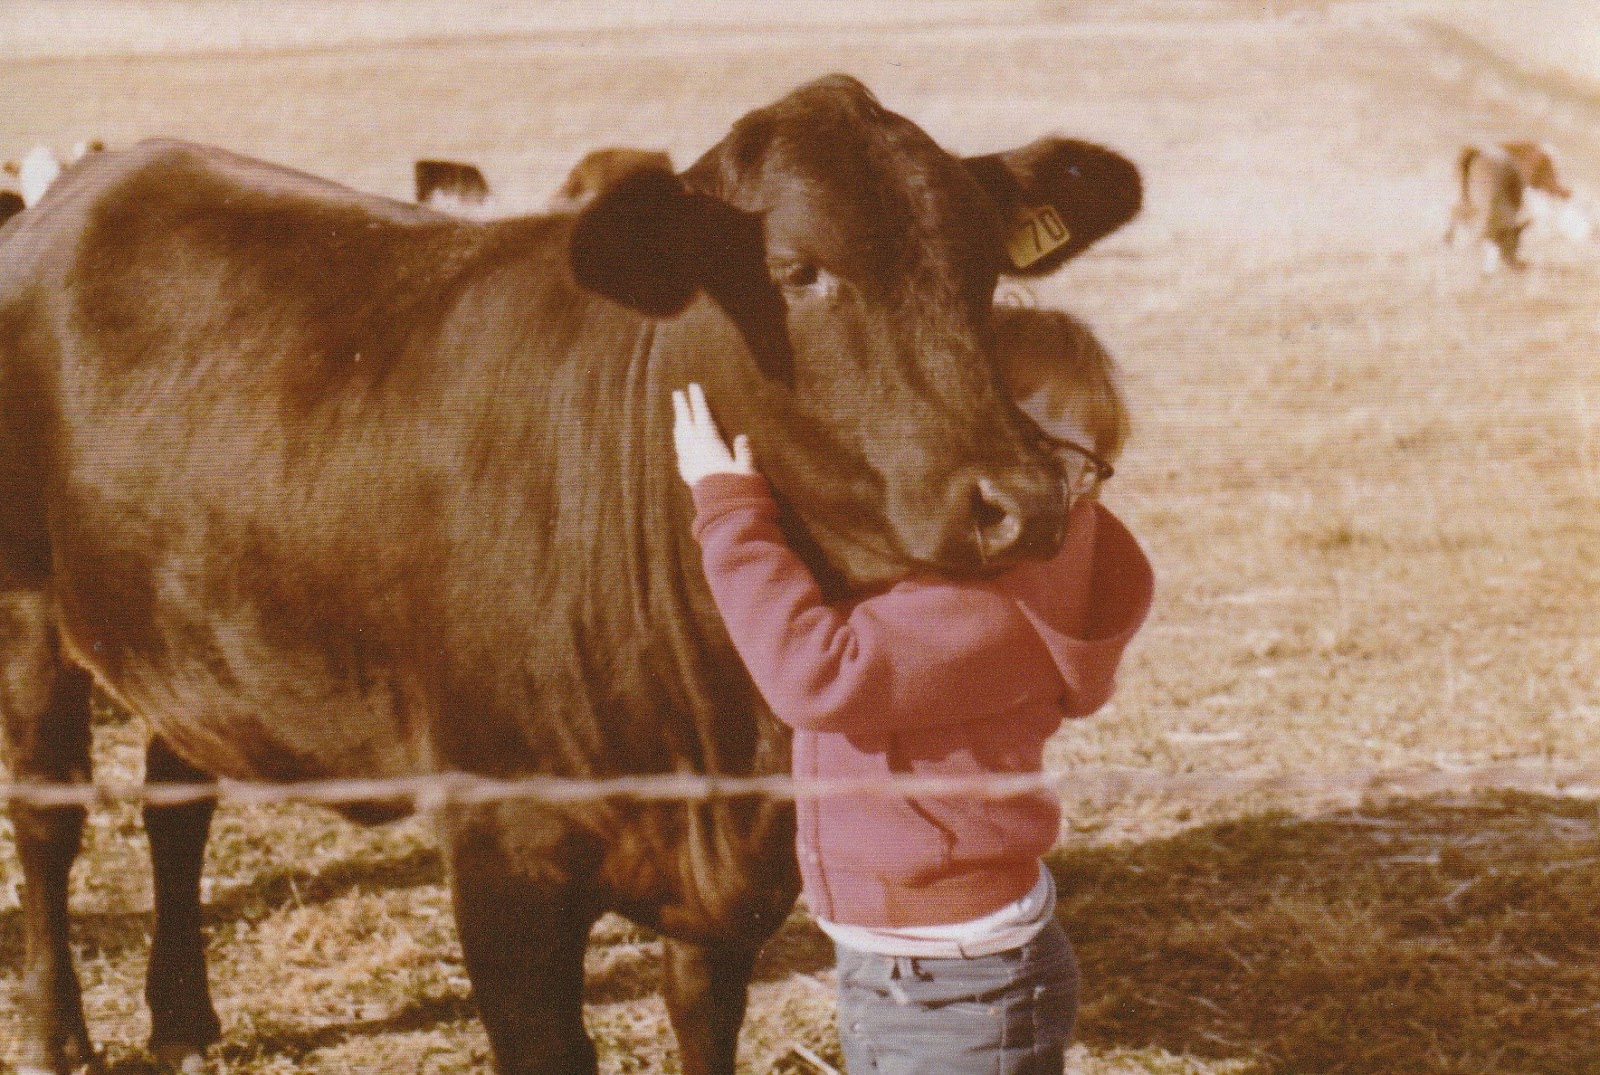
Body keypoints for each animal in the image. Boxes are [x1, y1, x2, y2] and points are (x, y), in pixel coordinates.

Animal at [0, 74, 1141, 1075]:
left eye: (985, 268)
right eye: (797, 269)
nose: (1022, 497)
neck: (720, 735)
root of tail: (97, 180)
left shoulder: (722, 899)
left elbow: (703, 1026)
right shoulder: (506, 861)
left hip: (185, 621)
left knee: (176, 798)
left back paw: (183, 1017)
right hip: (27, 607)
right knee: (50, 819)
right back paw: (60, 1036)